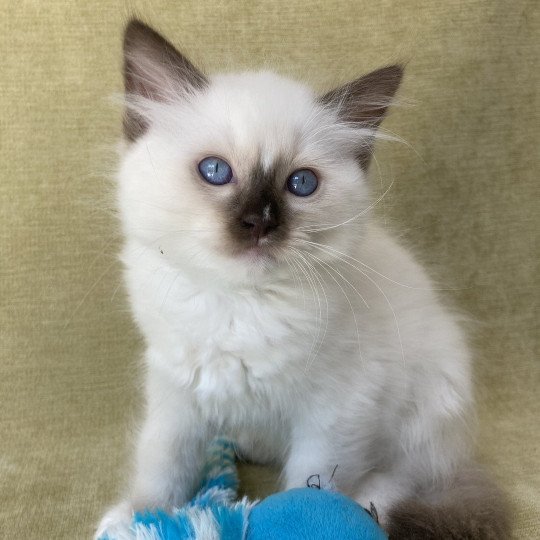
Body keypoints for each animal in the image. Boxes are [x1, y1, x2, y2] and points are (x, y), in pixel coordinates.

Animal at [95, 19, 508, 536]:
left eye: (301, 184)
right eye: (215, 171)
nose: (260, 221)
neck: (242, 306)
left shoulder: (335, 413)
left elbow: (311, 480)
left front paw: (304, 513)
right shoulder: (178, 391)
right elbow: (163, 464)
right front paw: (139, 517)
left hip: (429, 403)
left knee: (408, 478)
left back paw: (372, 505)